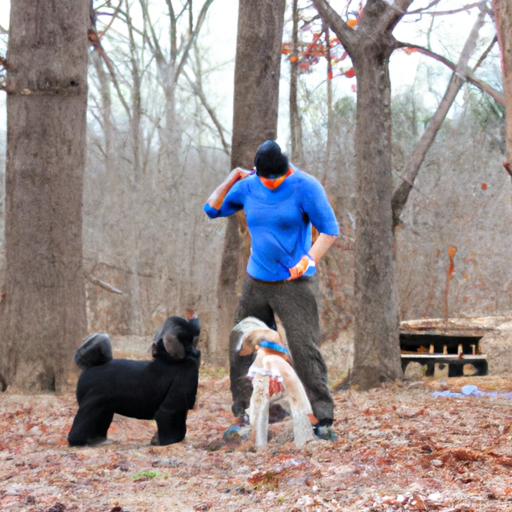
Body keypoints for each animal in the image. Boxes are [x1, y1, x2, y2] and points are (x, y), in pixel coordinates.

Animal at [69, 314, 201, 446]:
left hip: (104, 408)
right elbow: (169, 412)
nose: (196, 352)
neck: (170, 359)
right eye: (187, 339)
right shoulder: (184, 378)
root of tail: (91, 366)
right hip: (94, 405)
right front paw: (166, 441)